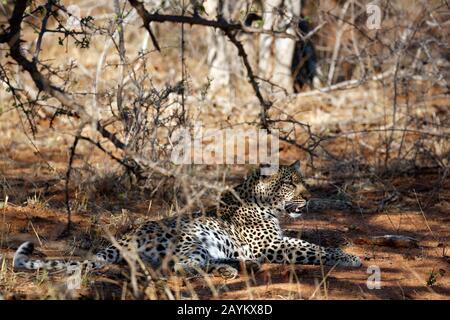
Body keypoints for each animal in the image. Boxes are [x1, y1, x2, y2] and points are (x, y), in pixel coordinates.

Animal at [12, 161, 360, 278]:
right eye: (289, 184)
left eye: (301, 182)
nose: (310, 196)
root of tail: (124, 236)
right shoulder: (269, 244)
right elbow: (313, 248)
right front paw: (351, 258)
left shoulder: (273, 240)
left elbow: (312, 242)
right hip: (191, 237)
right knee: (178, 267)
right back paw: (230, 269)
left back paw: (240, 266)